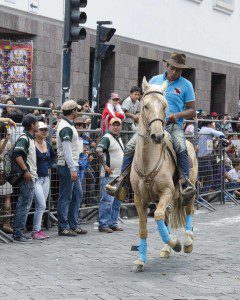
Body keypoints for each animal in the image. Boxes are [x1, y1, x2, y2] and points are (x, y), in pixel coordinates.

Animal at [130, 77, 198, 272]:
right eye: (145, 105)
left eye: (164, 105)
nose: (157, 136)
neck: (148, 162)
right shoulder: (139, 199)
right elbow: (143, 228)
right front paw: (140, 260)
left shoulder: (167, 192)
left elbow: (158, 216)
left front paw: (176, 243)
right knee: (167, 216)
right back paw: (167, 249)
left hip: (189, 191)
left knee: (189, 210)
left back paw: (187, 242)